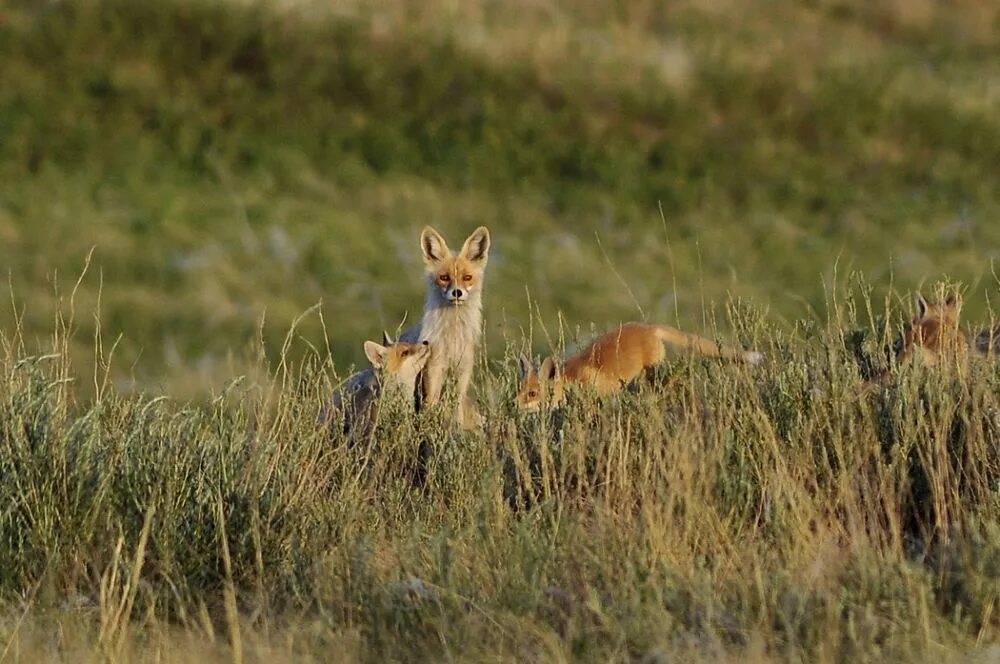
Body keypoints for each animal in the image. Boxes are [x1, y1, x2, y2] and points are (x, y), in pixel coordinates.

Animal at [400, 226, 490, 428]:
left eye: (467, 278)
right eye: (444, 277)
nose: (457, 293)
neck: (453, 337)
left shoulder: (463, 369)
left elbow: (456, 406)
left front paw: (457, 427)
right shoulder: (434, 367)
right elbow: (431, 404)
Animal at [520, 322, 760, 410]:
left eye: (532, 394)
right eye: (519, 392)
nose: (515, 407)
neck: (573, 379)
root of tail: (649, 326)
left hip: (653, 373)